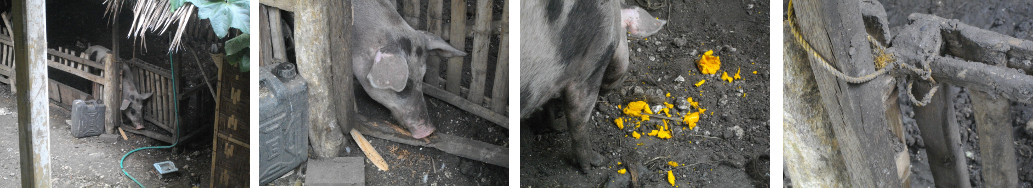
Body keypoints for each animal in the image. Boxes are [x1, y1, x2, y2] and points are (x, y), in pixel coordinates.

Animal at [520, 0, 665, 172]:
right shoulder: (588, 69)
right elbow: (579, 121)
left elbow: (547, 107)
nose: (608, 91)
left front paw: (558, 125)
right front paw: (594, 163)